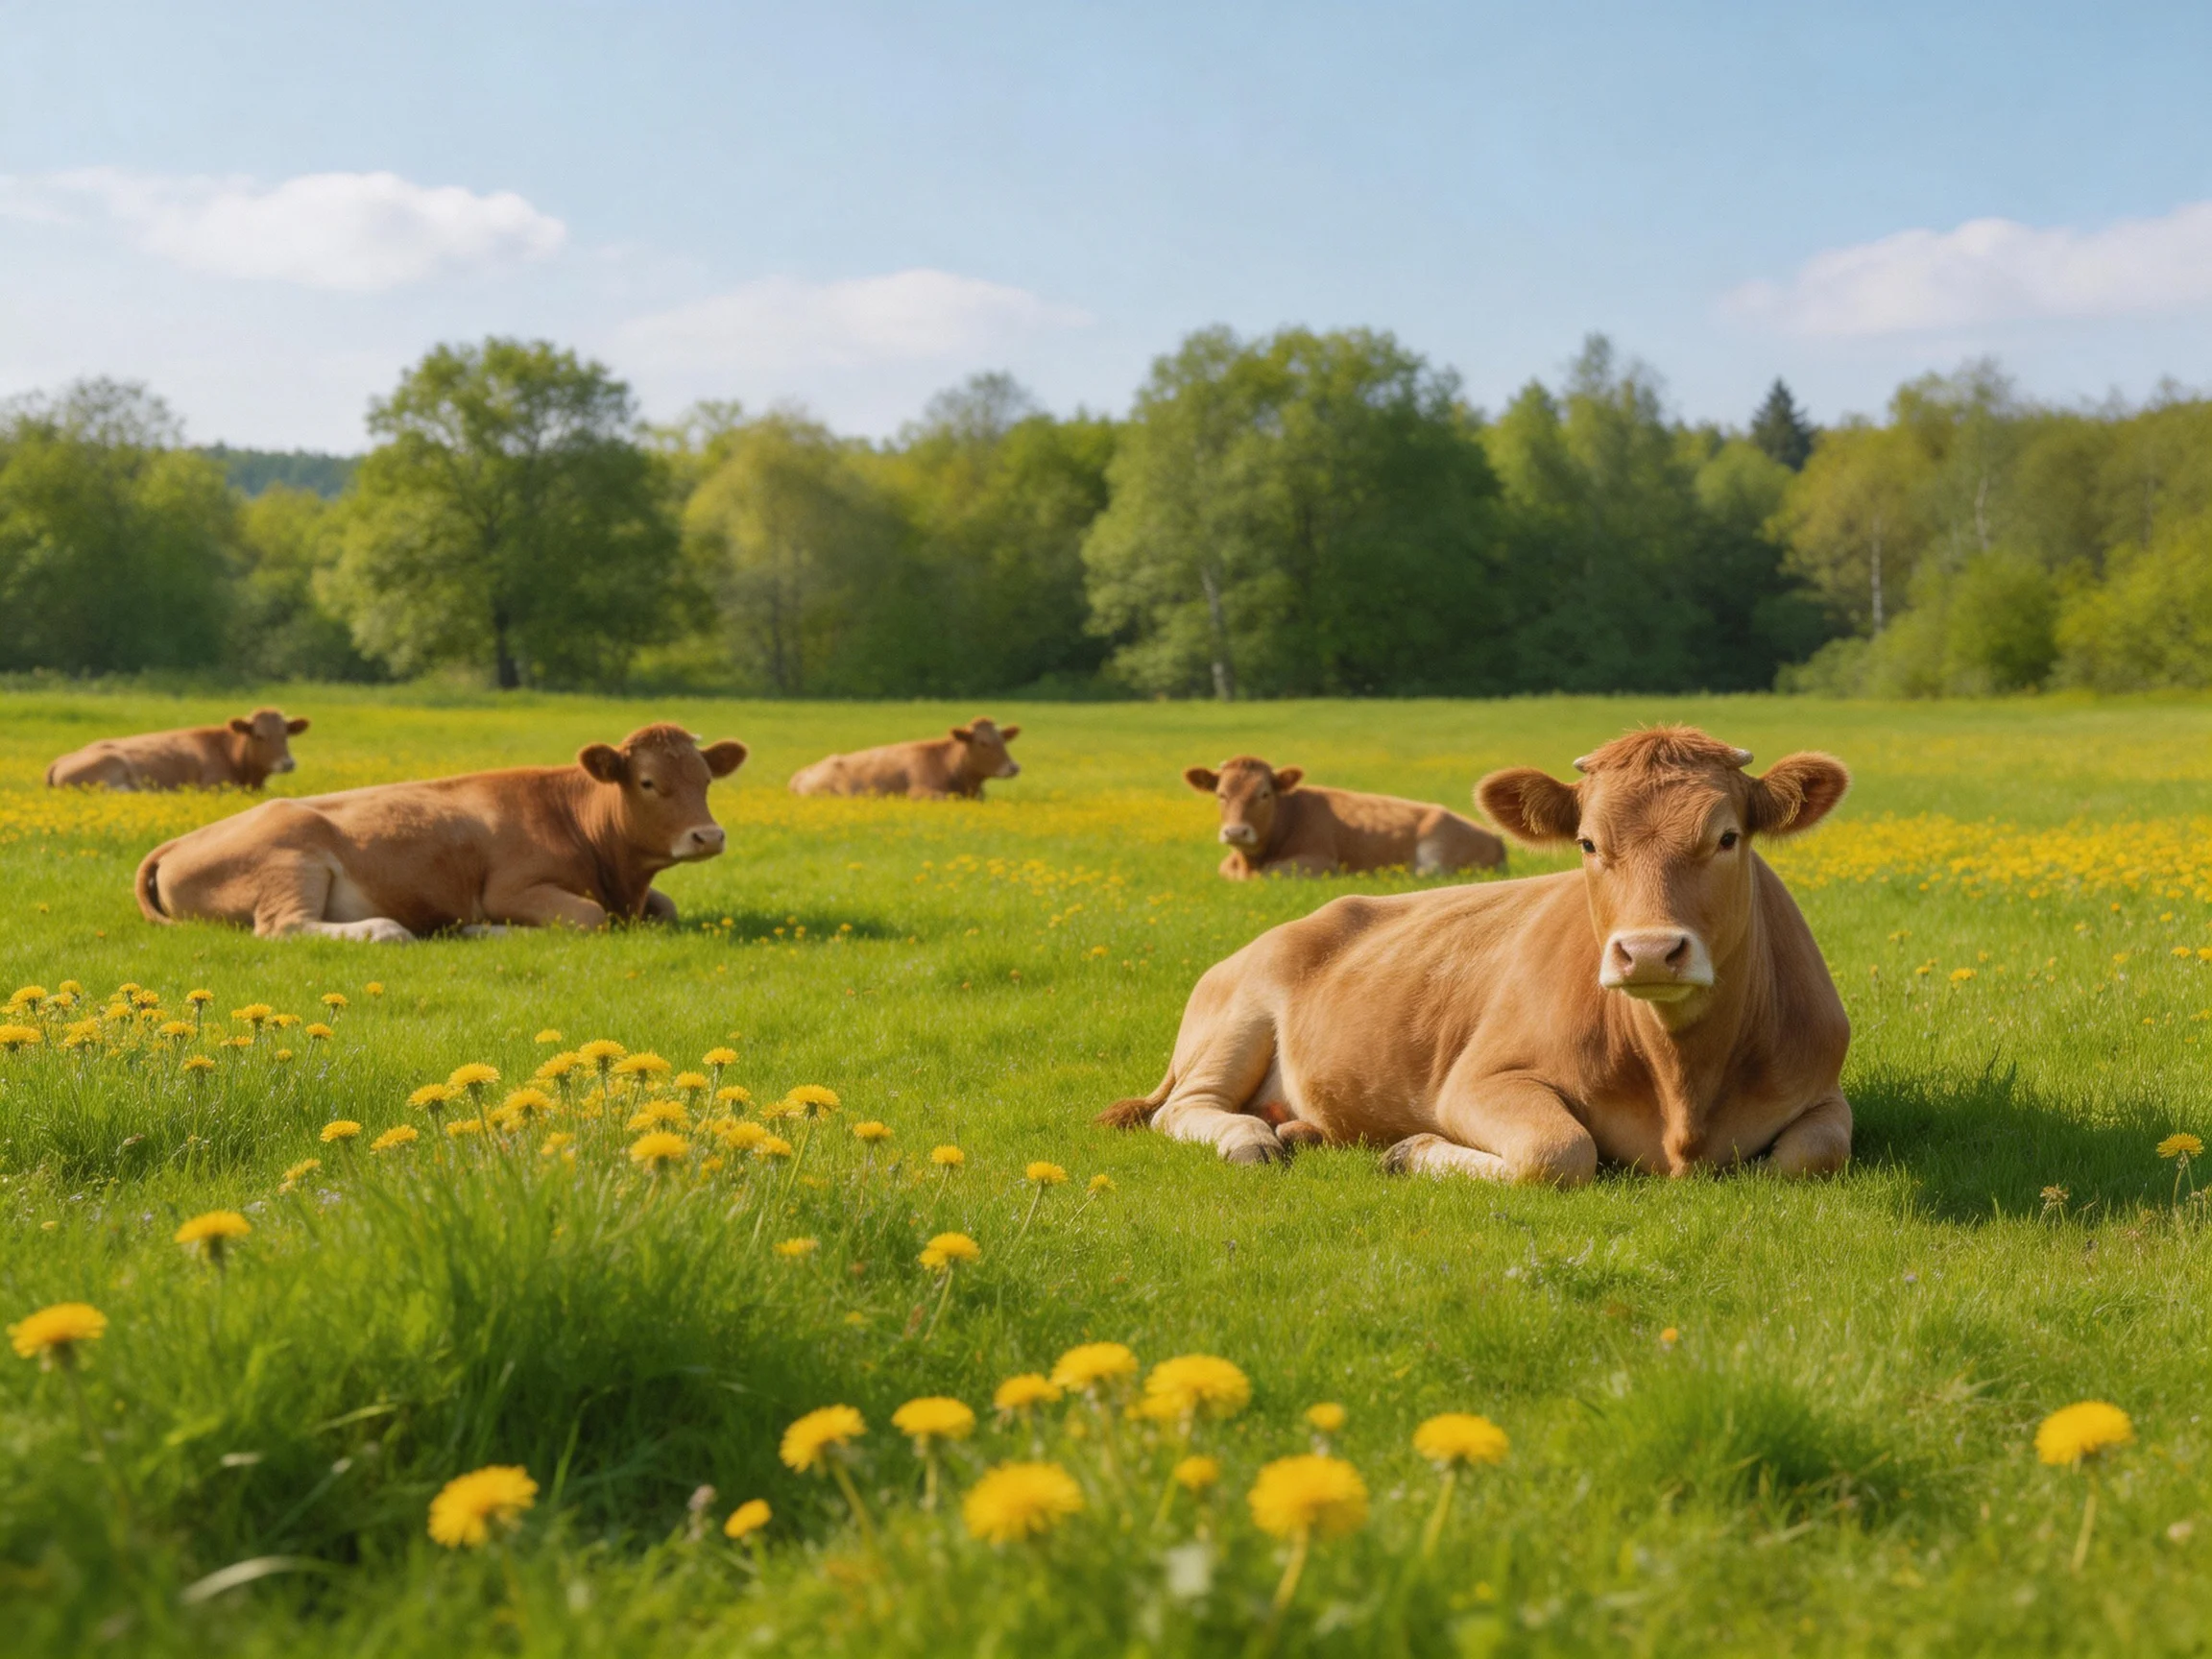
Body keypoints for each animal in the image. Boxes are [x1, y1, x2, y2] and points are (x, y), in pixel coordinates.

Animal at [133, 724, 747, 942]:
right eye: (648, 781)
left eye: (705, 778)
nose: (708, 836)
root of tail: (178, 841)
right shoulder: (511, 888)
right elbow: (589, 918)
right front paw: (479, 930)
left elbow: (666, 908)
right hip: (292, 860)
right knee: (283, 927)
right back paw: (388, 930)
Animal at [1185, 756, 1507, 880]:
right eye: (1221, 794)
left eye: (1264, 794)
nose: (1236, 832)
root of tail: (1495, 836)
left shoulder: (1319, 860)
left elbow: (1270, 873)